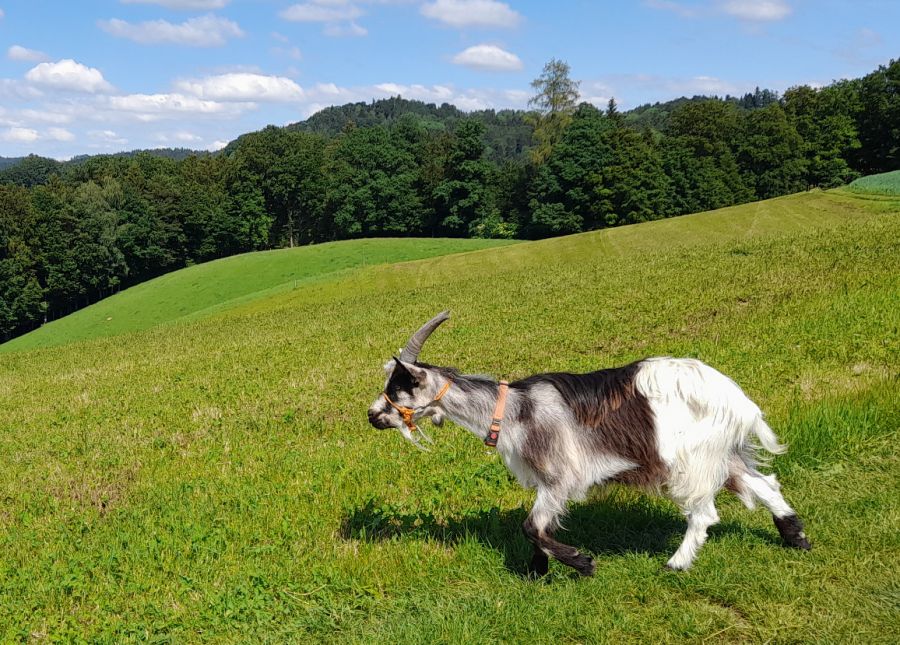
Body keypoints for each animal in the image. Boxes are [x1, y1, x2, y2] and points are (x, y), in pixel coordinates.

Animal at [366, 310, 808, 572]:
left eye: (399, 386)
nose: (372, 414)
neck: (513, 410)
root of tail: (738, 400)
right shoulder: (549, 481)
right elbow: (537, 528)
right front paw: (538, 570)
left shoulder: (560, 475)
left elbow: (532, 526)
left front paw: (579, 563)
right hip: (721, 454)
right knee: (765, 485)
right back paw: (796, 537)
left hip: (691, 460)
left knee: (704, 513)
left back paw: (676, 563)